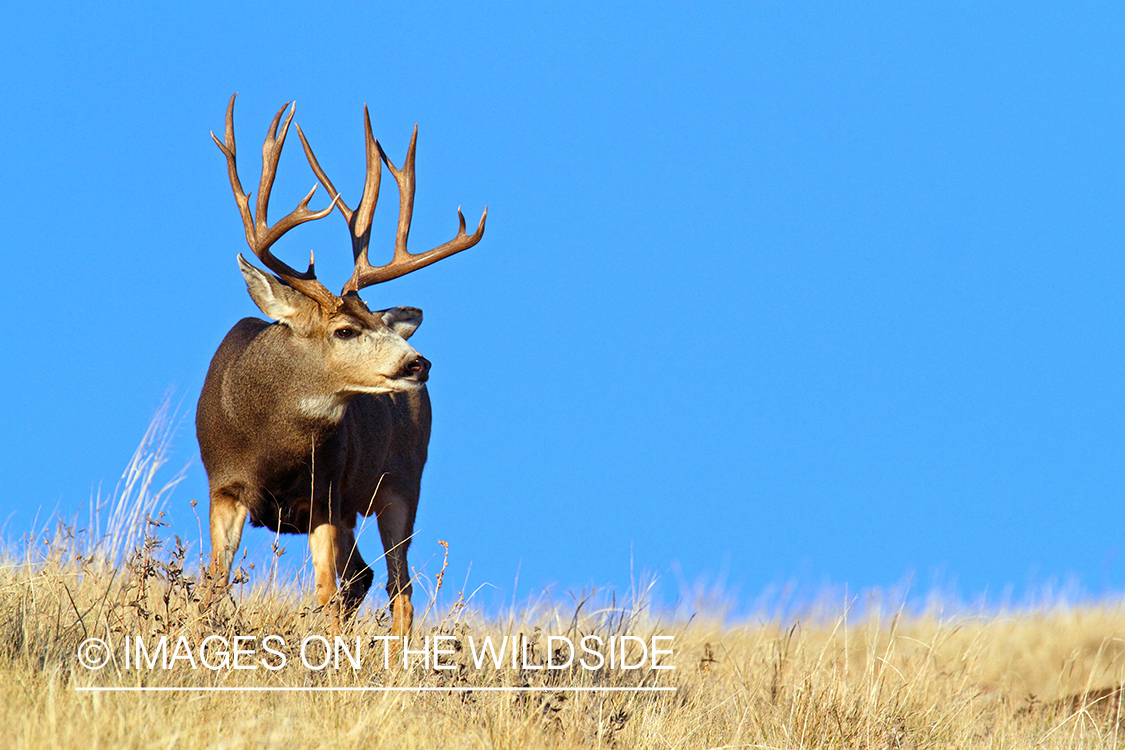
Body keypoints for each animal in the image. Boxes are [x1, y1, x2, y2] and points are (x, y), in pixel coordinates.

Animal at [195, 94, 486, 638]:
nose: (418, 363)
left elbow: (327, 594)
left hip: (400, 483)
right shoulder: (222, 485)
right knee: (366, 578)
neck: (271, 446)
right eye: (345, 330)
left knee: (398, 587)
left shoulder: (327, 495)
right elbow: (212, 588)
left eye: (376, 322)